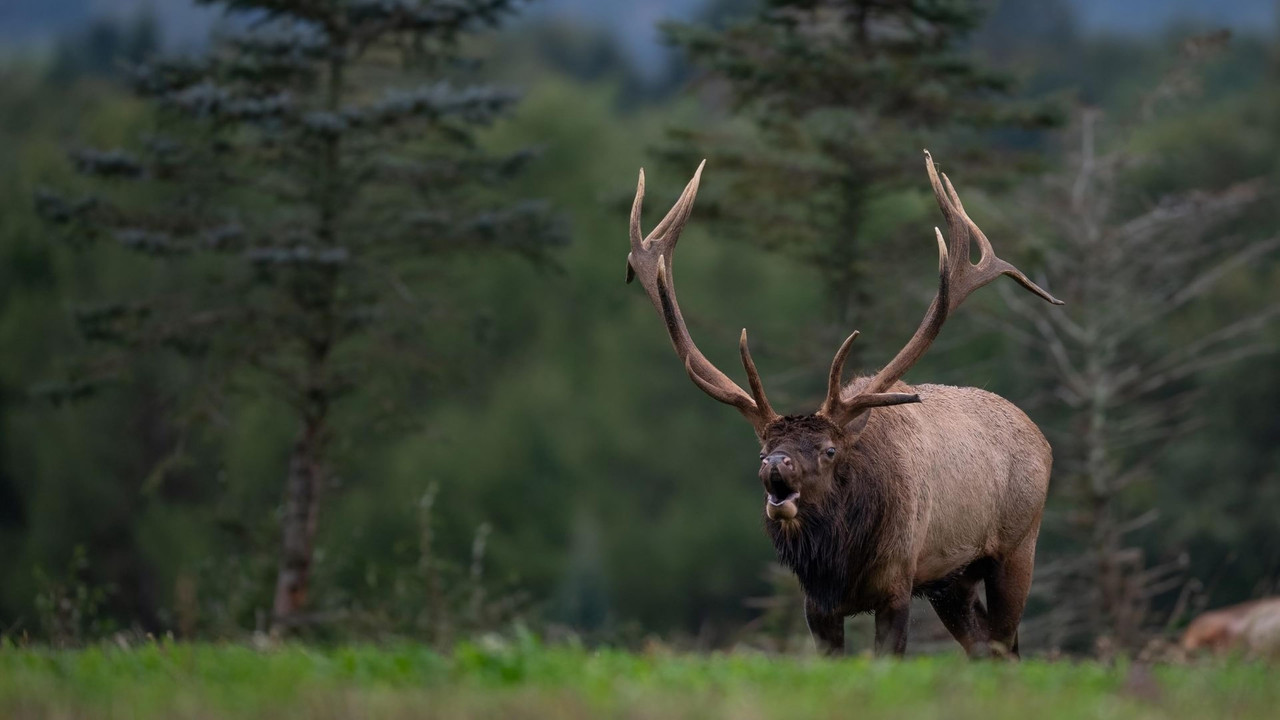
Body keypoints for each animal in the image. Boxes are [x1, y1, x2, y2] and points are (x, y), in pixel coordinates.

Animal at [623, 151, 1063, 658]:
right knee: (983, 648)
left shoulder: (897, 583)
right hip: (952, 580)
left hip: (1017, 546)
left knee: (1005, 646)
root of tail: (1040, 436)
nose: (777, 464)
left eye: (829, 451)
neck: (840, 565)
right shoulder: (817, 604)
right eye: (762, 450)